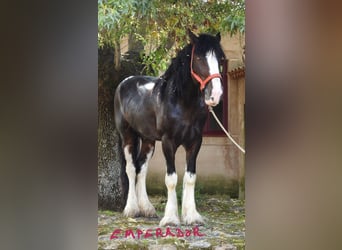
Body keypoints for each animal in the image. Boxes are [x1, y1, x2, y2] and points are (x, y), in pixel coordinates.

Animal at [115, 29, 226, 227]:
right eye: (199, 57)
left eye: (221, 58)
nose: (215, 94)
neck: (182, 103)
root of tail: (125, 82)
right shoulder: (168, 142)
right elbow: (171, 179)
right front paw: (171, 218)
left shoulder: (195, 142)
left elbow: (190, 177)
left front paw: (192, 216)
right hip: (127, 136)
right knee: (131, 168)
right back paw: (131, 209)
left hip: (148, 140)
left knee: (141, 168)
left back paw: (147, 209)